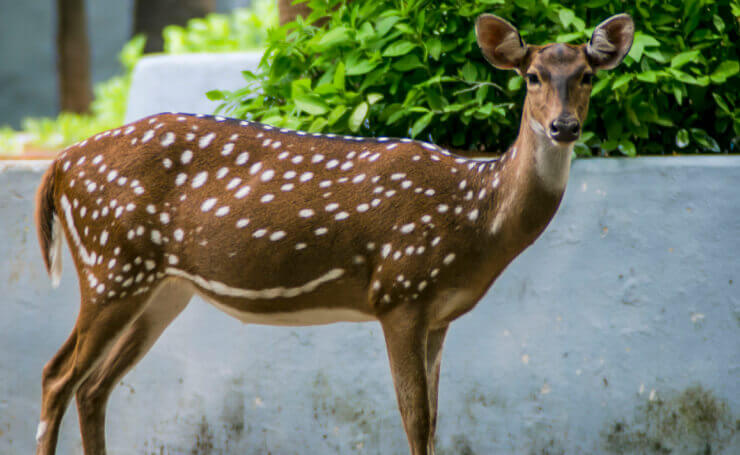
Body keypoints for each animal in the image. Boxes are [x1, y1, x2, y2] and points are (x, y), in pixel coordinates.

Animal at [34, 13, 632, 455]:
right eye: (532, 76)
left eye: (587, 75)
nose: (563, 126)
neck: (475, 214)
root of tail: (60, 164)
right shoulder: (399, 291)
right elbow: (415, 418)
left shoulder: (439, 312)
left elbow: (435, 419)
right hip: (112, 266)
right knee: (57, 376)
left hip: (162, 289)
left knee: (94, 387)